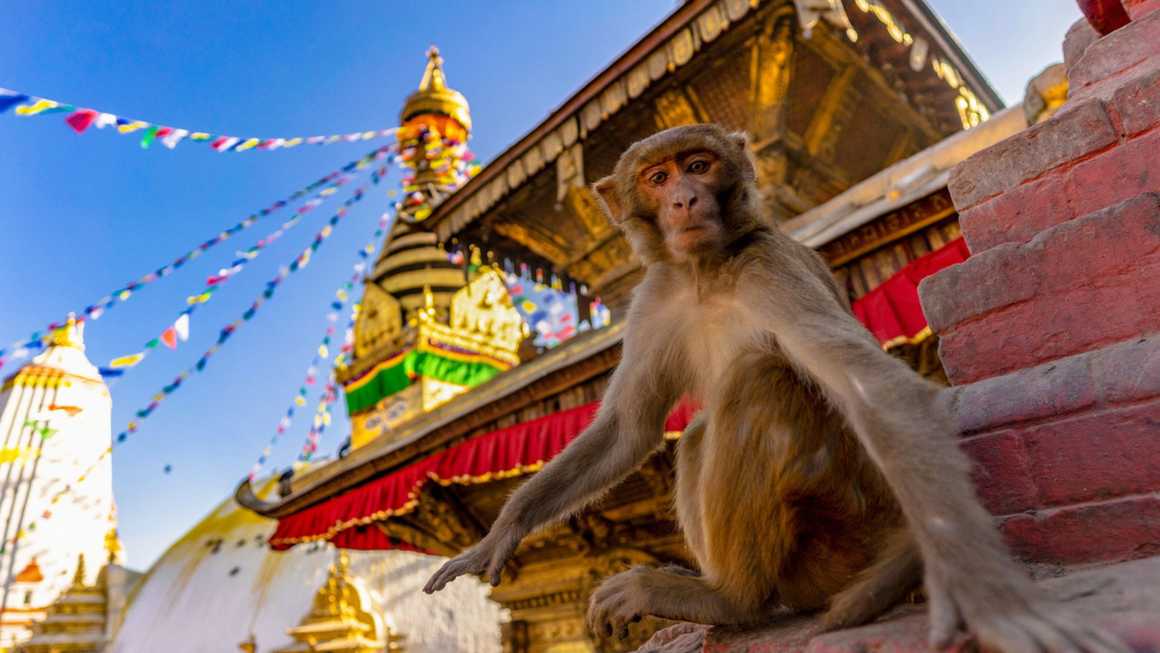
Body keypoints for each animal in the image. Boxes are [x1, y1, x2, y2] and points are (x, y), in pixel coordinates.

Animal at [424, 124, 1126, 653]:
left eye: (698, 165)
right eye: (657, 178)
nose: (684, 199)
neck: (707, 272)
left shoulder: (772, 268)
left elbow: (867, 387)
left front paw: (992, 599)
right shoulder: (653, 300)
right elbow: (628, 427)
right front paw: (500, 533)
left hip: (842, 531)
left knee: (757, 381)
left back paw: (728, 598)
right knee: (697, 432)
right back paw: (724, 597)